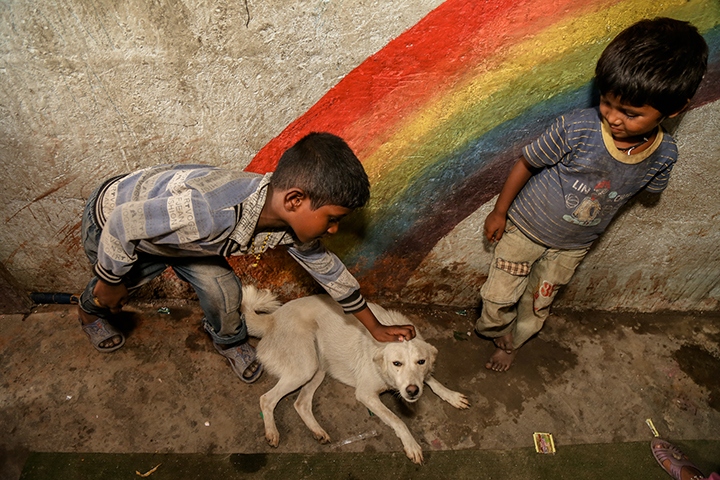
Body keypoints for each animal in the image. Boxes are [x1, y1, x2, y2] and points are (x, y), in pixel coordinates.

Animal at [239, 284, 470, 464]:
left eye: (421, 361)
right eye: (397, 363)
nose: (412, 392)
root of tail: (271, 320)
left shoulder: (419, 377)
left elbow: (432, 380)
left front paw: (451, 396)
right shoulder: (366, 394)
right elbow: (397, 420)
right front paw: (411, 444)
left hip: (318, 368)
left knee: (300, 403)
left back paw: (318, 432)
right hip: (306, 367)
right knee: (266, 399)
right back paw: (272, 432)